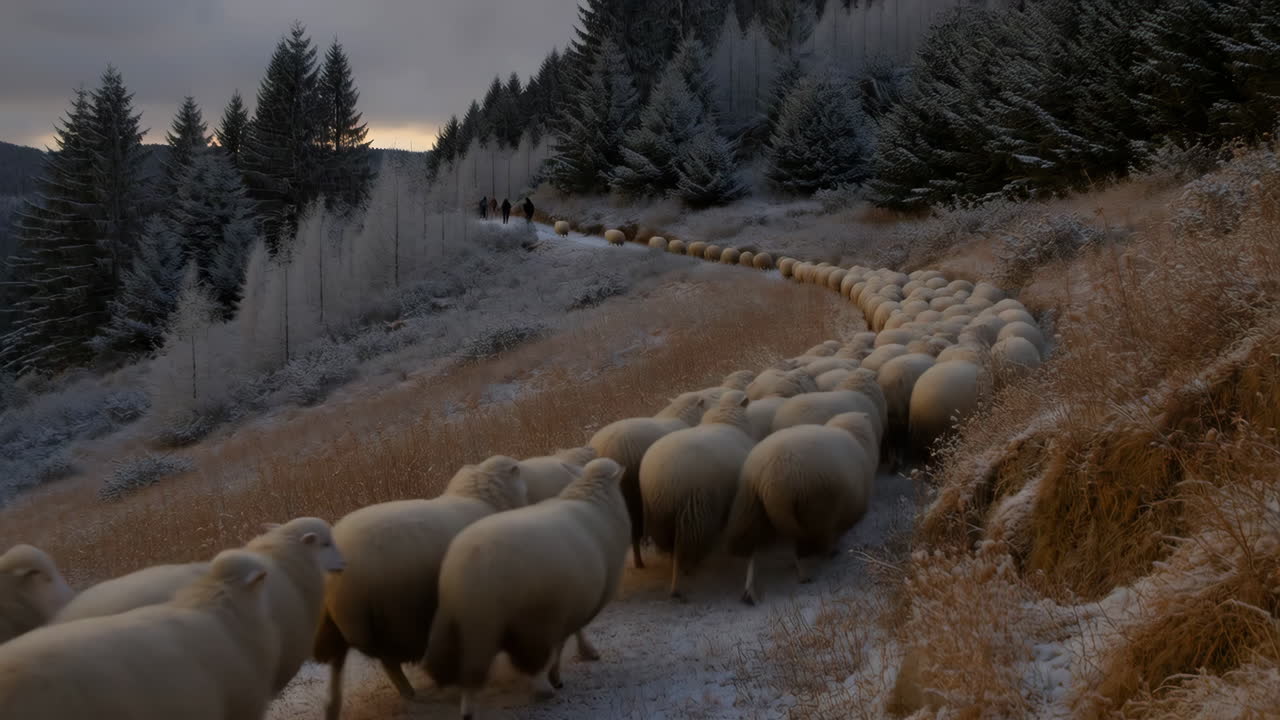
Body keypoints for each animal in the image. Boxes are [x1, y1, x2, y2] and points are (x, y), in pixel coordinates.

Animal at [314, 458, 528, 717]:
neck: (484, 501)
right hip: (381, 618)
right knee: (388, 661)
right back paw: (410, 693)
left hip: (343, 624)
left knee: (340, 663)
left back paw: (334, 706)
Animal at [425, 458, 629, 719]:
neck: (590, 497)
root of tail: (469, 566)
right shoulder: (569, 606)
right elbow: (566, 639)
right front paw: (561, 672)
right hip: (508, 621)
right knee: (492, 665)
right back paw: (541, 689)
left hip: (459, 624)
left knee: (465, 668)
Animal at [640, 391, 757, 599]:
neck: (725, 421)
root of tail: (662, 481)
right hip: (695, 512)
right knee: (686, 547)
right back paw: (683, 576)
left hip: (660, 517)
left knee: (671, 547)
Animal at [727, 412, 877, 604]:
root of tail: (769, 477)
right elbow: (834, 533)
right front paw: (832, 551)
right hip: (809, 508)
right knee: (800, 543)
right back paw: (804, 575)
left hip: (752, 508)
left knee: (752, 549)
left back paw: (749, 592)